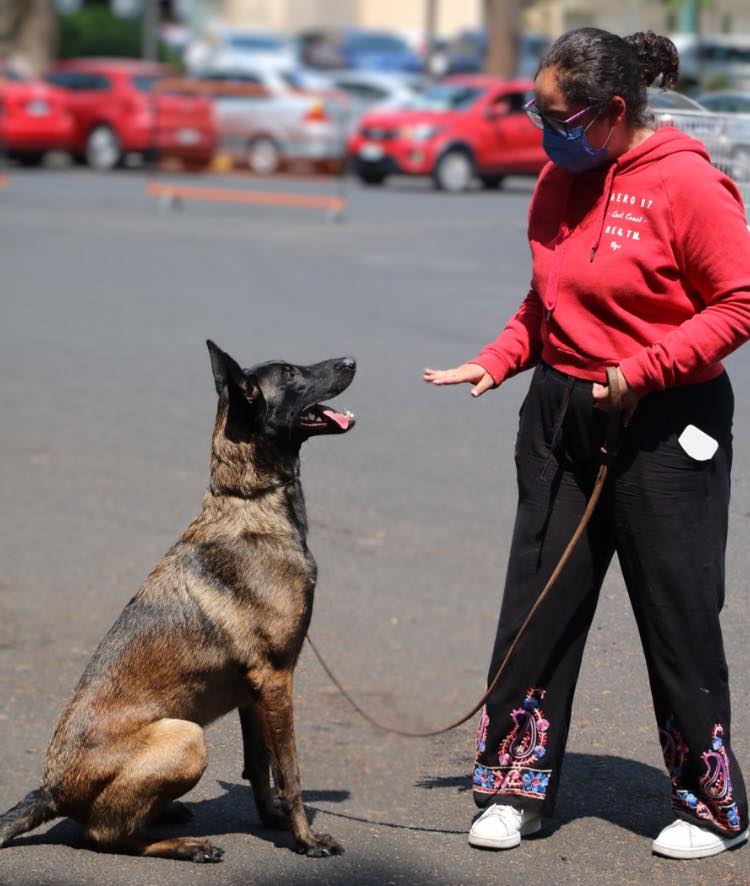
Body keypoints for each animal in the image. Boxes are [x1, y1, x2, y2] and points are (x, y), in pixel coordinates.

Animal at [0, 344, 358, 864]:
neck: (248, 499)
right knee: (104, 834)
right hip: (188, 736)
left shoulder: (254, 693)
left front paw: (272, 820)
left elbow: (260, 767)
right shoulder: (277, 679)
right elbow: (289, 771)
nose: (351, 361)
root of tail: (51, 790)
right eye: (291, 374)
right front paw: (305, 839)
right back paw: (186, 845)